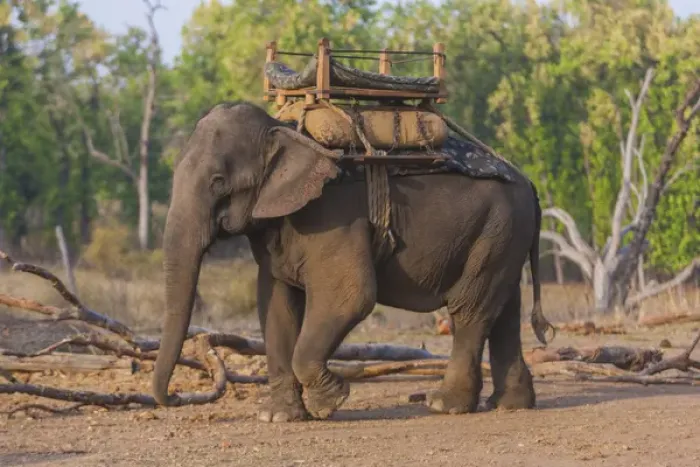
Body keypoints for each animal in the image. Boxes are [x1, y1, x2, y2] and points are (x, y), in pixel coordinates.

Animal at [152, 101, 553, 422]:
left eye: (218, 182)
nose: (177, 397)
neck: (285, 131)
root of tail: (530, 184)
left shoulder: (333, 216)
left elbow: (351, 296)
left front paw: (330, 402)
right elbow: (275, 304)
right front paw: (278, 417)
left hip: (498, 226)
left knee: (470, 309)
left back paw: (444, 405)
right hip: (503, 234)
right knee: (503, 308)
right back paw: (509, 404)